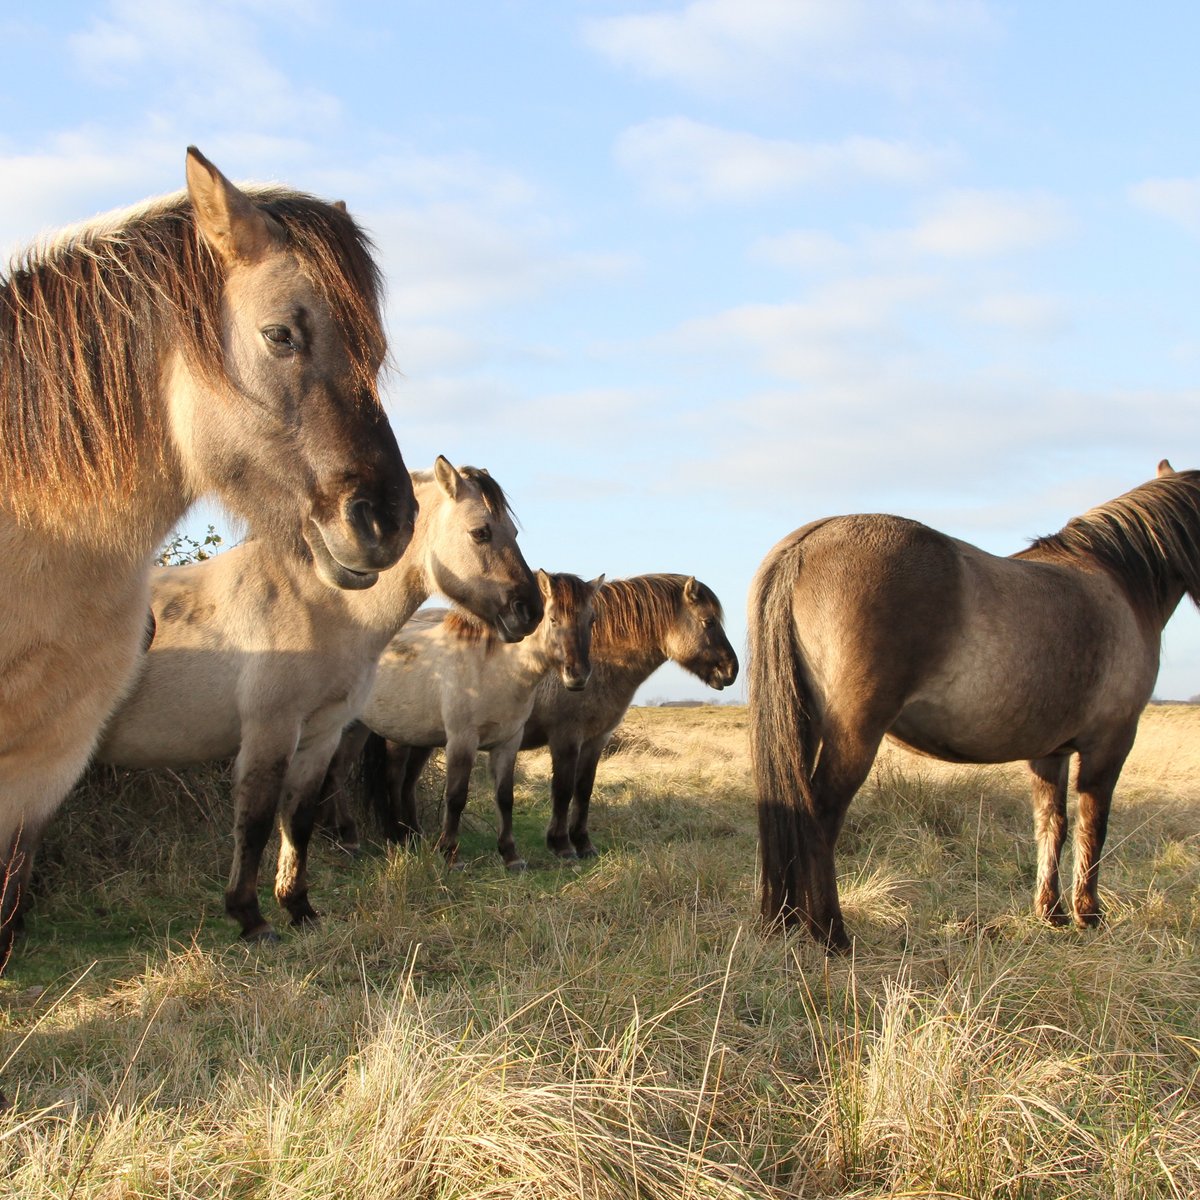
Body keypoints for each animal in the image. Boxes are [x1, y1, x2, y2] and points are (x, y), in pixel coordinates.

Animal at [98, 458, 540, 936]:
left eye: (514, 533)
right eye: (481, 532)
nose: (530, 610)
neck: (312, 605)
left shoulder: (320, 737)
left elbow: (298, 821)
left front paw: (299, 909)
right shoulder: (269, 735)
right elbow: (255, 822)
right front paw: (251, 918)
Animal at [324, 573, 600, 873]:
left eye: (591, 619)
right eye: (553, 619)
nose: (579, 676)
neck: (495, 668)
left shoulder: (508, 743)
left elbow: (505, 797)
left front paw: (511, 855)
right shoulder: (462, 740)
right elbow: (456, 797)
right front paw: (450, 854)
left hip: (378, 730)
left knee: (390, 779)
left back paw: (397, 837)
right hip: (348, 728)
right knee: (338, 772)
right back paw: (350, 839)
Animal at [525, 576, 739, 859]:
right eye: (709, 621)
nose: (732, 670)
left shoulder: (595, 741)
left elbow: (583, 790)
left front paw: (583, 843)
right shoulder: (565, 739)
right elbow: (563, 790)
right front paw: (561, 845)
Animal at [748, 463, 1200, 950]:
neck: (1118, 582)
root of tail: (808, 543)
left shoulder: (1050, 753)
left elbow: (1052, 824)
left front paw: (1052, 912)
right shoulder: (1110, 743)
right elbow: (1092, 827)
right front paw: (1088, 914)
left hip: (805, 725)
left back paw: (786, 920)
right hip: (853, 735)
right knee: (821, 815)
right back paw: (830, 932)